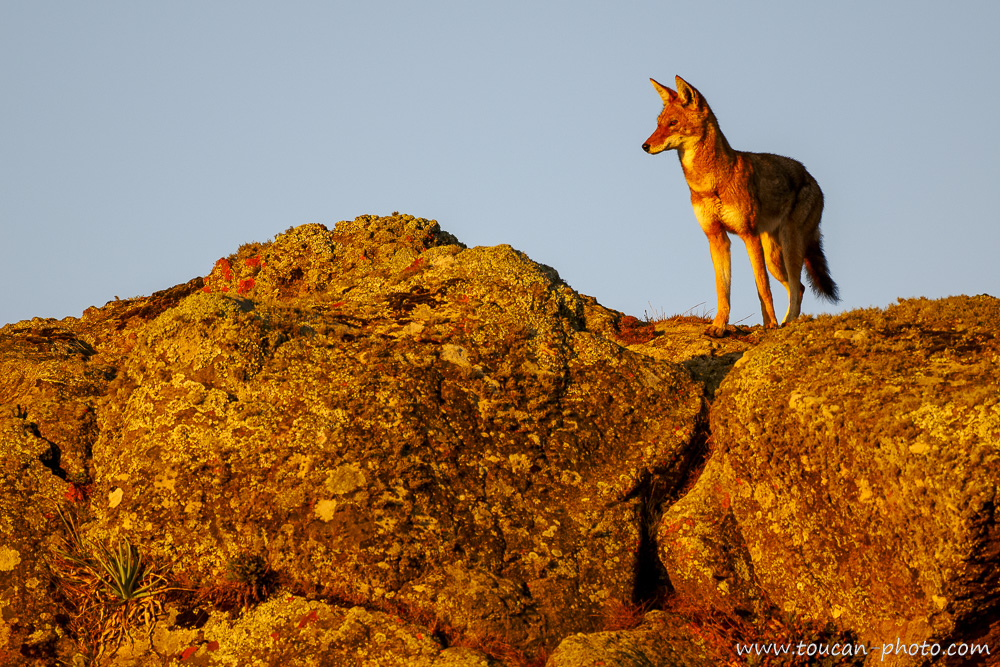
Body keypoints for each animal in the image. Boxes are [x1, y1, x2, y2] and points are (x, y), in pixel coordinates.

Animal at [642, 75, 839, 337]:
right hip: (775, 260)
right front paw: (718, 326)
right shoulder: (716, 238)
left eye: (673, 123)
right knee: (799, 287)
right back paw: (787, 321)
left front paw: (769, 324)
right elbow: (722, 289)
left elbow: (762, 288)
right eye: (658, 124)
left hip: (788, 247)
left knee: (796, 286)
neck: (710, 184)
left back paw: (786, 323)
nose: (644, 146)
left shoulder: (749, 235)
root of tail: (810, 176)